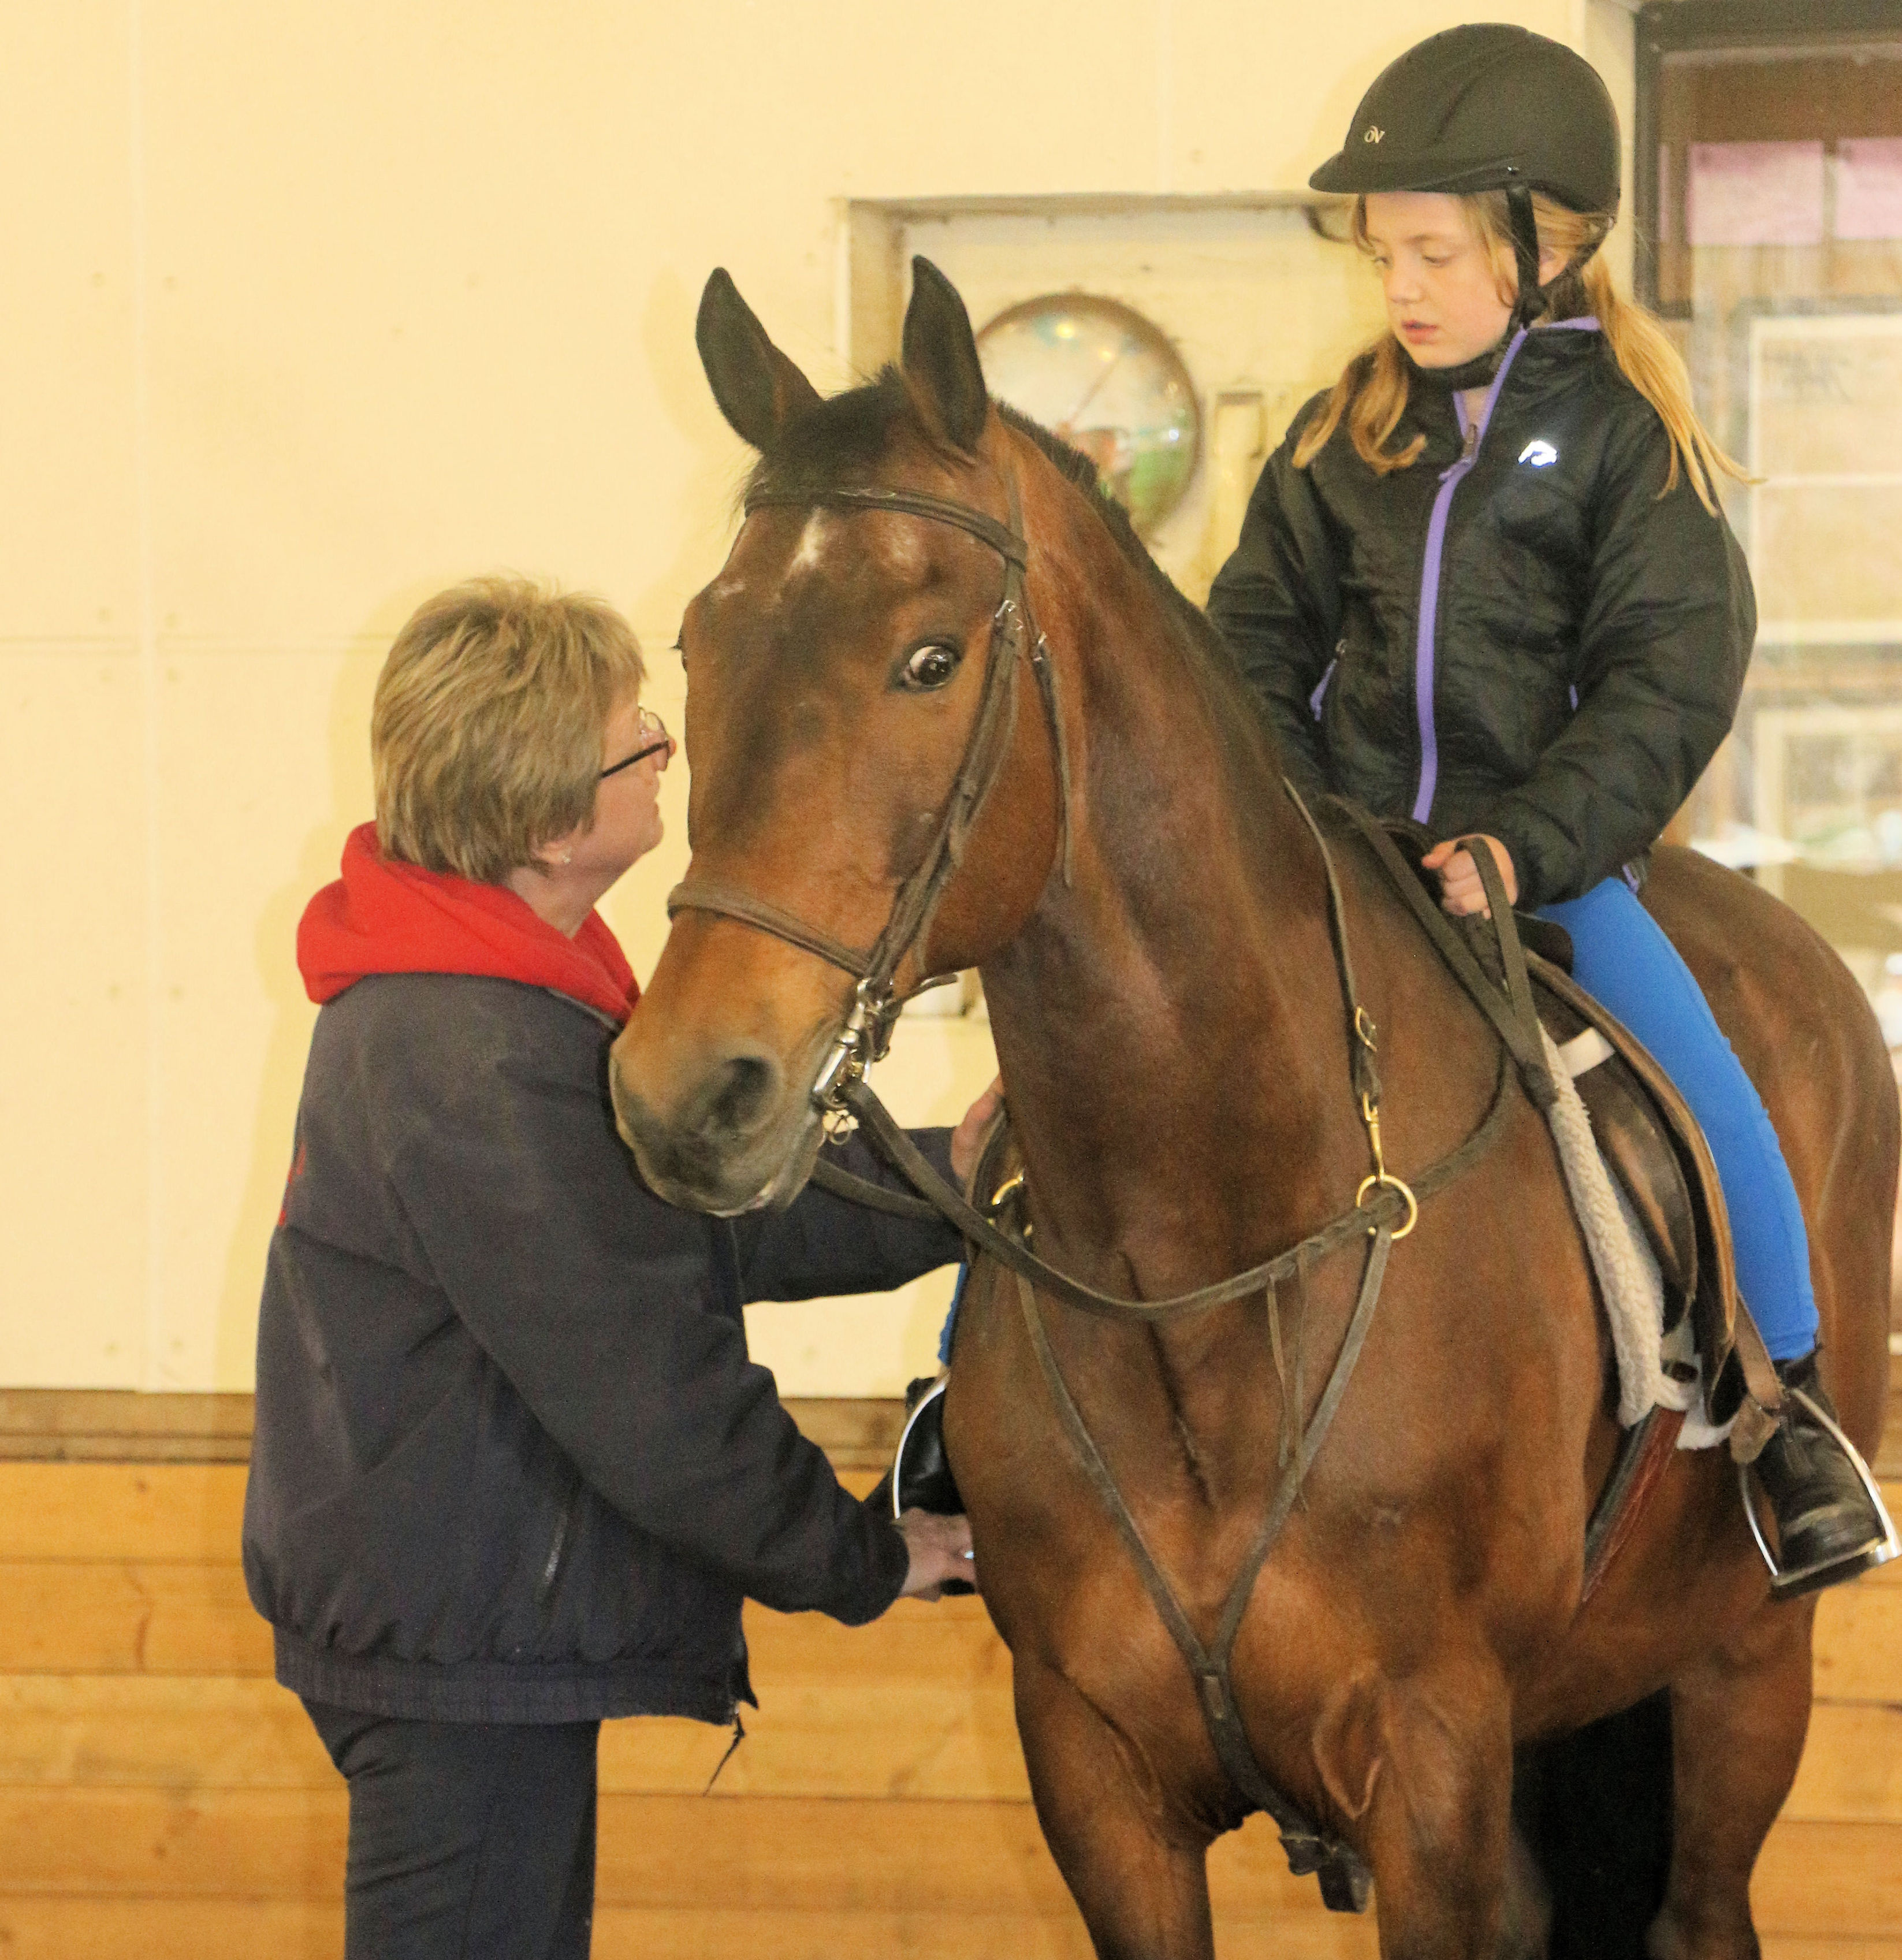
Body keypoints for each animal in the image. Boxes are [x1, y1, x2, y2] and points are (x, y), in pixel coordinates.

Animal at [607, 265, 1888, 1960]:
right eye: (700, 642)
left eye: (930, 658)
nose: (687, 1091)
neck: (1203, 1263)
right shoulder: (1096, 1778)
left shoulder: (1430, 1766)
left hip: (1741, 1667)